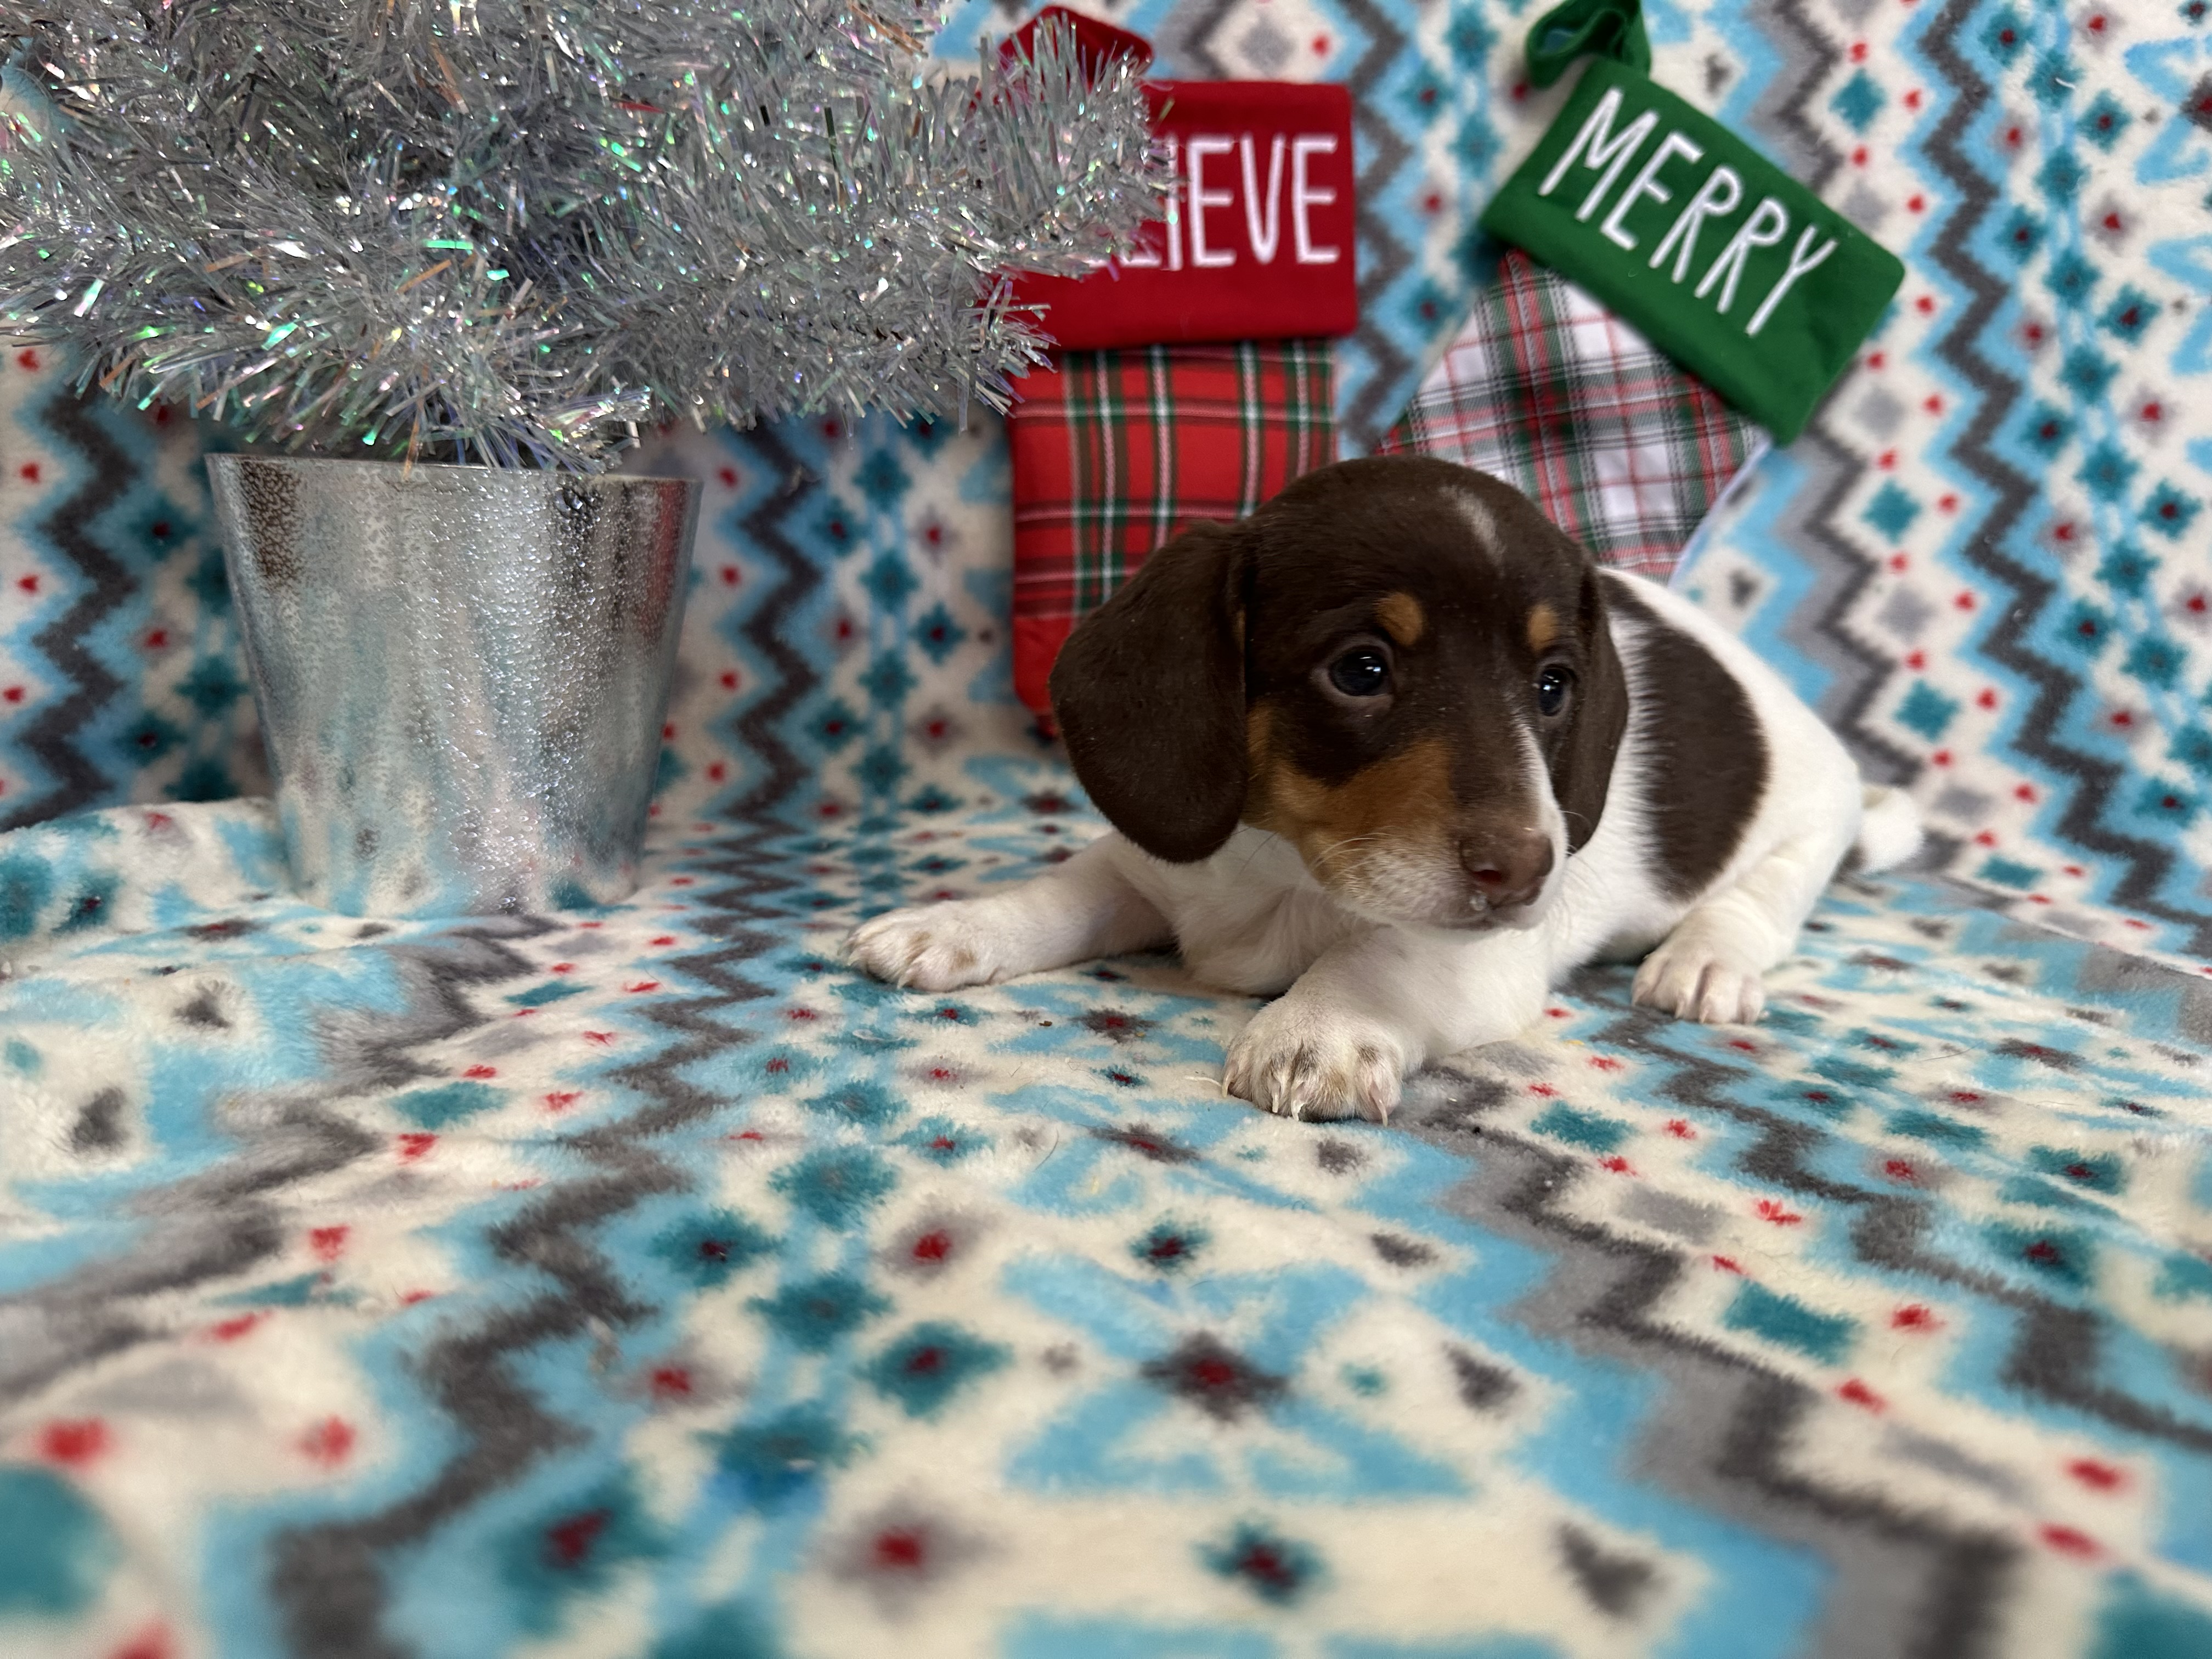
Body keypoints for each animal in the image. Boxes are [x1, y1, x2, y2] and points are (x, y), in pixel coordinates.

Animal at [849, 454, 1920, 1122]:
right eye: (1361, 670)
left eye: (1552, 685)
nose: (1529, 872)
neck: (1284, 873)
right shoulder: (1152, 868)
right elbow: (1060, 895)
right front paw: (955, 923)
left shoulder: (1482, 956)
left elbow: (1385, 954)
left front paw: (1316, 1025)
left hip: (1803, 833)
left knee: (1759, 904)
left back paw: (1703, 961)